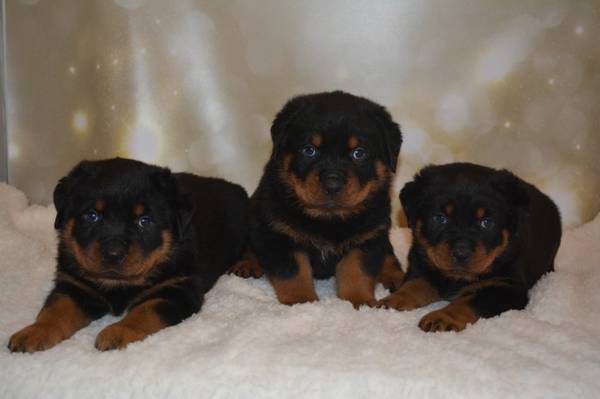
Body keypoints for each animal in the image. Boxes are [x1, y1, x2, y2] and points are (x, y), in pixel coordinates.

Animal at [7, 158, 246, 352]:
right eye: (92, 216)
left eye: (144, 221)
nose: (113, 253)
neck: (118, 283)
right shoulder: (74, 286)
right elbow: (55, 310)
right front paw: (34, 331)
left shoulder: (177, 290)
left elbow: (145, 311)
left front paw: (118, 331)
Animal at [230, 91, 404, 310]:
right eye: (309, 150)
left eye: (359, 153)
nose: (332, 184)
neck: (328, 218)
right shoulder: (278, 233)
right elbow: (294, 274)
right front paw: (302, 302)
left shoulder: (369, 236)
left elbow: (356, 271)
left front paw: (359, 301)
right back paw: (247, 263)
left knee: (388, 252)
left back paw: (395, 275)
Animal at [380, 162, 564, 332]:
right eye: (440, 218)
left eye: (486, 222)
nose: (461, 253)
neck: (457, 279)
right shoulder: (422, 264)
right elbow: (415, 284)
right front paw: (394, 299)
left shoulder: (508, 287)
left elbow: (470, 301)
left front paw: (442, 317)